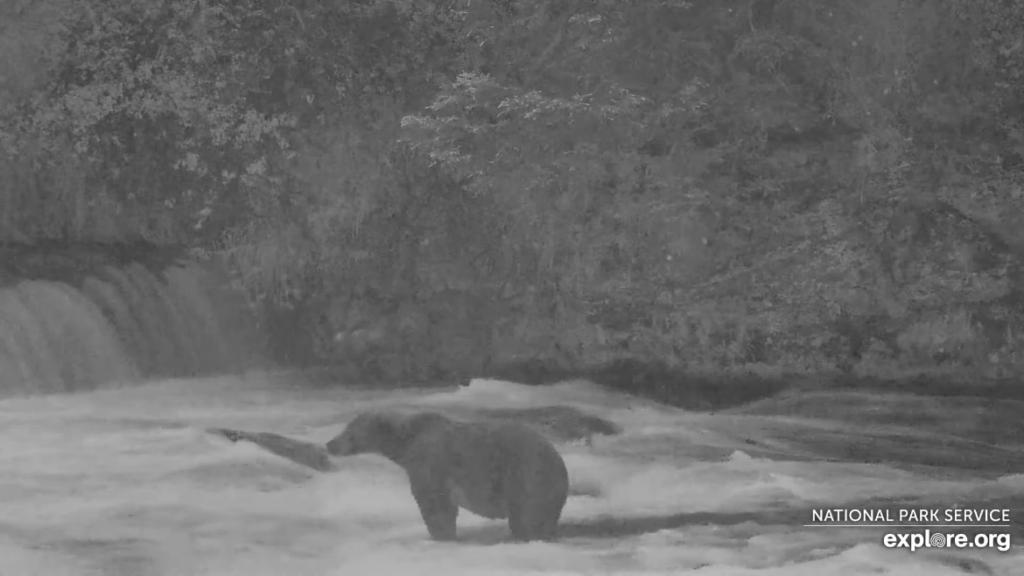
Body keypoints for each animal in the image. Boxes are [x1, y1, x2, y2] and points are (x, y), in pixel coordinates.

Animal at [325, 409, 569, 541]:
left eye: (349, 432)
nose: (330, 444)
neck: (406, 444)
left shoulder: (431, 465)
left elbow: (435, 505)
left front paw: (441, 534)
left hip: (527, 479)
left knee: (526, 518)